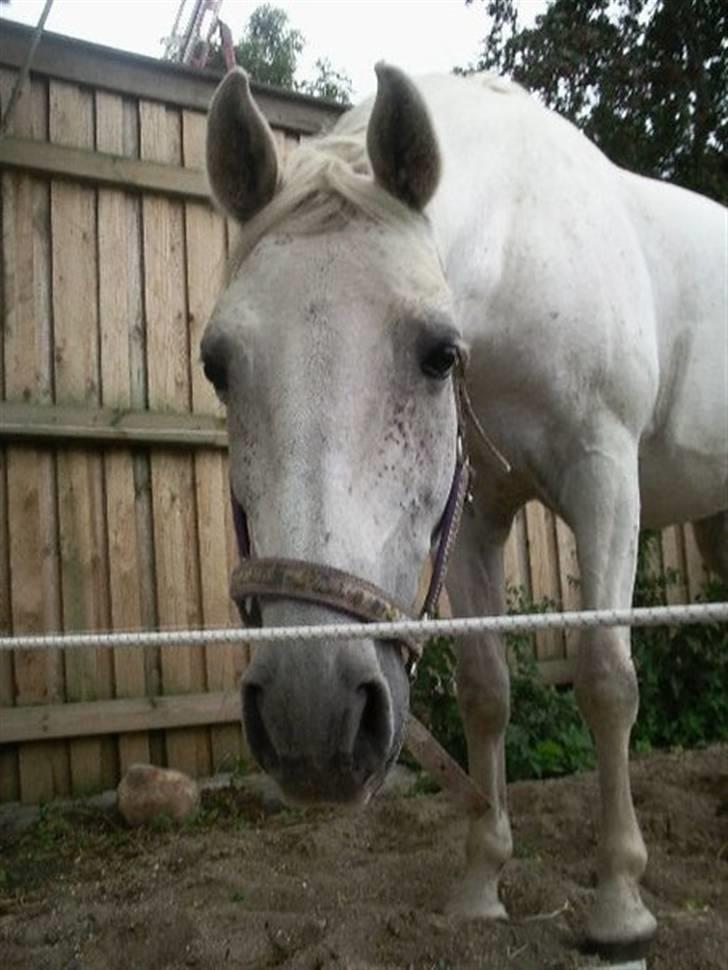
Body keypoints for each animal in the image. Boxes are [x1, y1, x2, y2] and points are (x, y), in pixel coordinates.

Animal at [202, 64, 727, 950]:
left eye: (439, 355)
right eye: (217, 364)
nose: (314, 719)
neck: (528, 249)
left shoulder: (605, 478)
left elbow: (606, 680)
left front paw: (621, 902)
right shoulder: (474, 516)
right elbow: (486, 689)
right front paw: (482, 882)